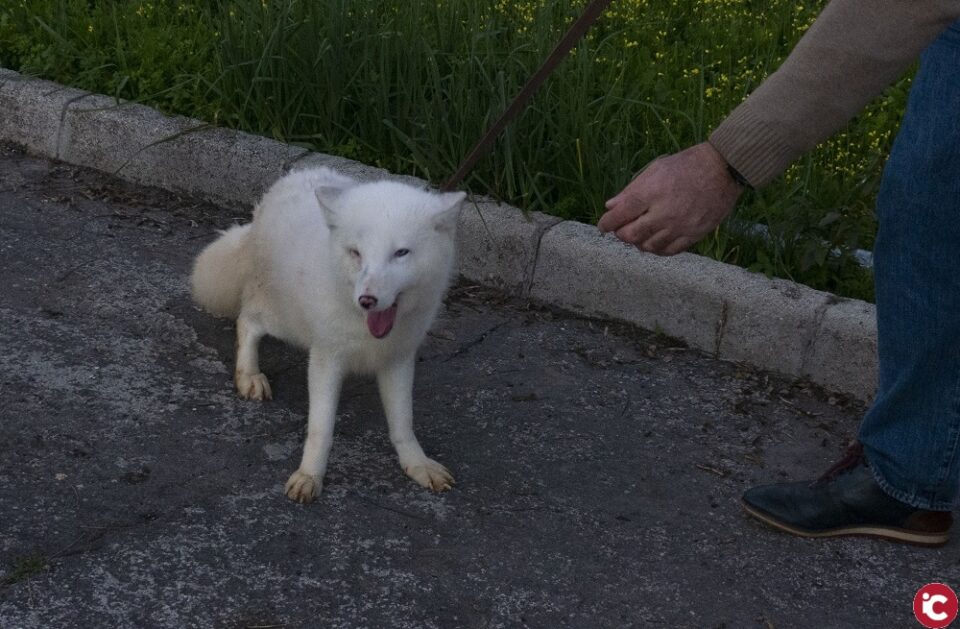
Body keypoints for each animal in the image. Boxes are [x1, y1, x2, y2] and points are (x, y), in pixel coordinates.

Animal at [190, 167, 465, 503]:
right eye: (356, 253)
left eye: (401, 253)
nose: (367, 299)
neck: (365, 328)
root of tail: (288, 181)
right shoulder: (326, 358)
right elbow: (321, 429)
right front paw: (309, 476)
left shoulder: (398, 359)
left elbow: (403, 422)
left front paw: (418, 464)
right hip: (282, 317)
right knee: (247, 321)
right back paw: (249, 375)